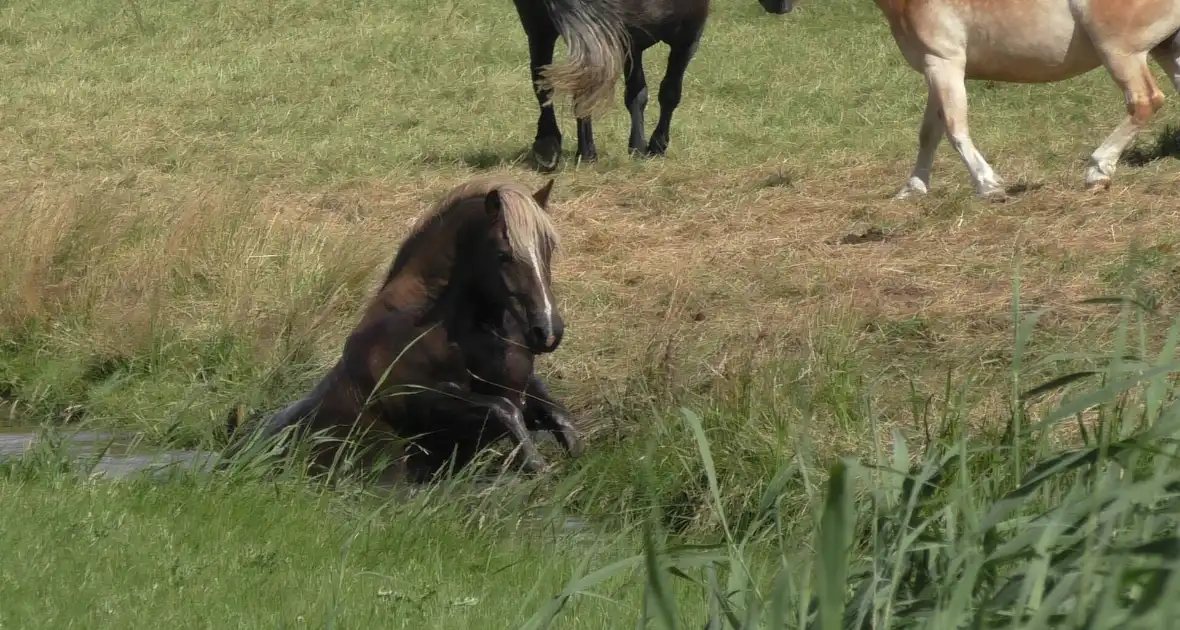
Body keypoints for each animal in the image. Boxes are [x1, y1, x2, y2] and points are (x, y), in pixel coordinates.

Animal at [223, 175, 582, 481]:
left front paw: (576, 456)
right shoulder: (418, 399)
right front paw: (537, 465)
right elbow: (502, 409)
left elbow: (555, 412)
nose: (548, 331)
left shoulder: (520, 388)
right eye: (503, 255)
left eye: (548, 248)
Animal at [516, 0, 792, 172]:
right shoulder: (684, 36)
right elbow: (666, 93)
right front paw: (651, 146)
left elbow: (636, 94)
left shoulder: (630, 42)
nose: (782, 7)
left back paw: (558, 148)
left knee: (546, 81)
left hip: (542, 28)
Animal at [873, 0, 1180, 200]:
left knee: (1145, 101)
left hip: (1120, 52)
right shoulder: (935, 67)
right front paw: (912, 189)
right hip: (1166, 48)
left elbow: (954, 129)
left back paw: (1097, 171)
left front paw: (989, 186)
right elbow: (929, 133)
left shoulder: (943, 63)